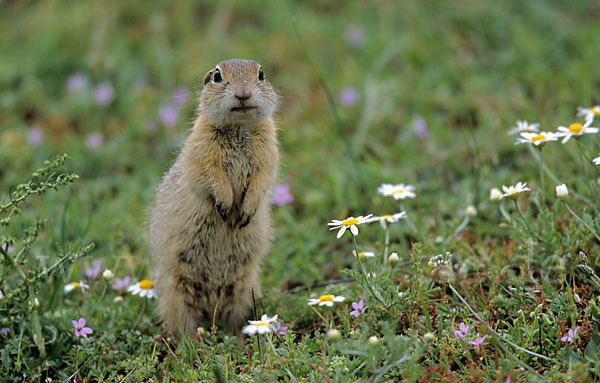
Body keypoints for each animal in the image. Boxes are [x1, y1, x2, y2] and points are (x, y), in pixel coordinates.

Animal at [150, 59, 282, 340]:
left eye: (261, 74)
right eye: (217, 76)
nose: (243, 93)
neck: (238, 127)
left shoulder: (269, 147)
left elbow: (263, 177)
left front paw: (245, 211)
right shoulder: (200, 145)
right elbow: (209, 174)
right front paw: (225, 203)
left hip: (245, 288)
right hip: (174, 293)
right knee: (182, 327)